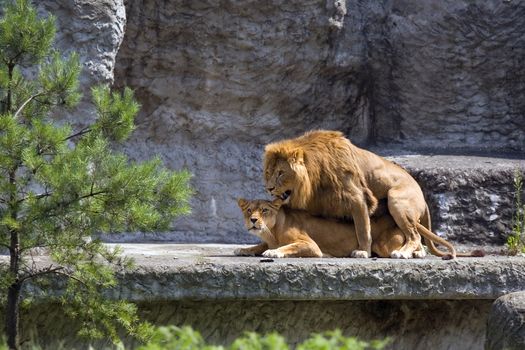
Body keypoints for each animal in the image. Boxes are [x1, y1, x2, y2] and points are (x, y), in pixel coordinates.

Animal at [262, 130, 478, 258]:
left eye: (280, 173)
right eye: (268, 172)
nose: (269, 188)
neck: (313, 177)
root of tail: (423, 198)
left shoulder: (357, 197)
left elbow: (363, 230)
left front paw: (363, 252)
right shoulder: (324, 205)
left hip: (396, 200)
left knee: (414, 234)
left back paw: (403, 253)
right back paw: (417, 253)